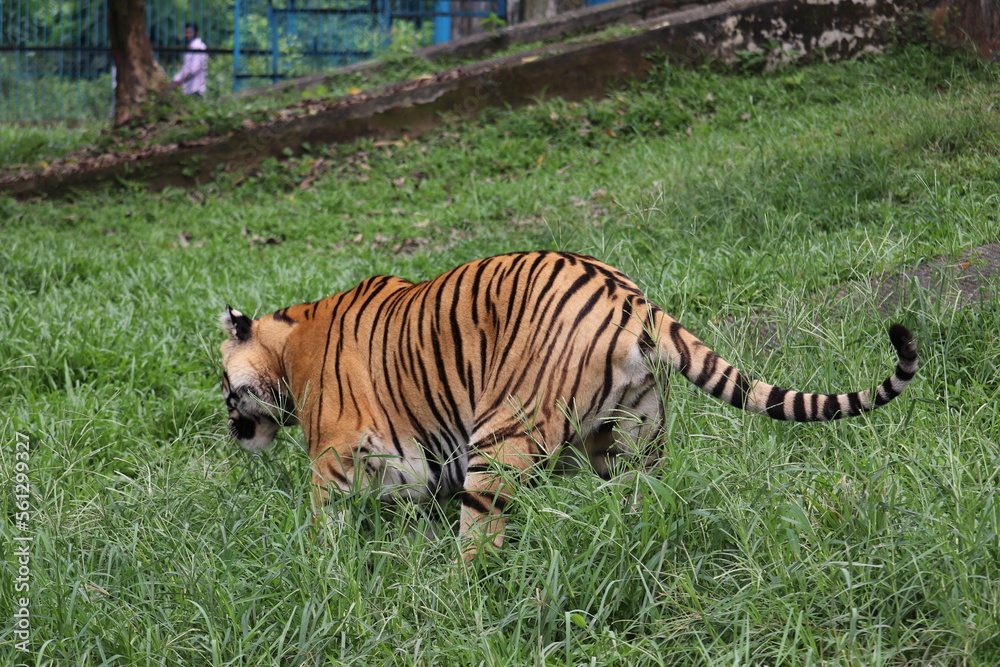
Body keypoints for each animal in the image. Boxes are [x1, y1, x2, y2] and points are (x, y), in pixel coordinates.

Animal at [219, 251, 918, 560]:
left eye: (221, 381)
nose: (231, 428)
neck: (289, 347)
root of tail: (629, 296)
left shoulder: (334, 454)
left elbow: (323, 518)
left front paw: (321, 567)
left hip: (501, 435)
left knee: (482, 537)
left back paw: (463, 592)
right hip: (631, 437)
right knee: (648, 498)